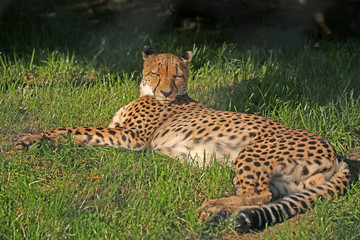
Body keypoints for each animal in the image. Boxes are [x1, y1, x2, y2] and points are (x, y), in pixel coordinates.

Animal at [15, 46, 350, 232]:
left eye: (177, 75)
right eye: (156, 72)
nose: (165, 92)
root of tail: (336, 152)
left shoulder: (132, 138)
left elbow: (75, 129)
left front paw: (31, 139)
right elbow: (79, 132)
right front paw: (35, 139)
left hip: (252, 152)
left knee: (261, 194)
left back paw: (212, 208)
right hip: (290, 183)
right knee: (269, 196)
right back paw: (220, 213)